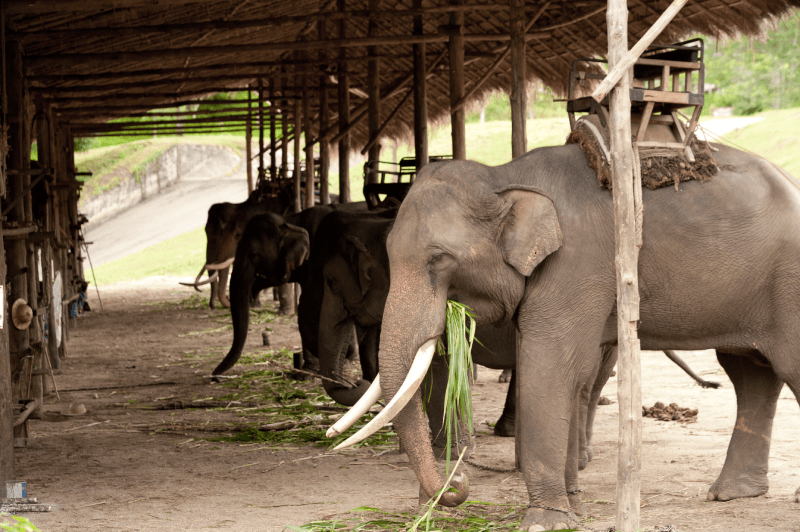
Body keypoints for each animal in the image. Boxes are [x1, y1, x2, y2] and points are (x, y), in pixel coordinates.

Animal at [331, 143, 800, 530]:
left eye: (438, 260)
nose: (459, 480)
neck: (504, 177)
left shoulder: (576, 264)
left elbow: (549, 368)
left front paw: (544, 523)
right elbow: (574, 376)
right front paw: (574, 509)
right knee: (750, 375)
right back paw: (730, 494)